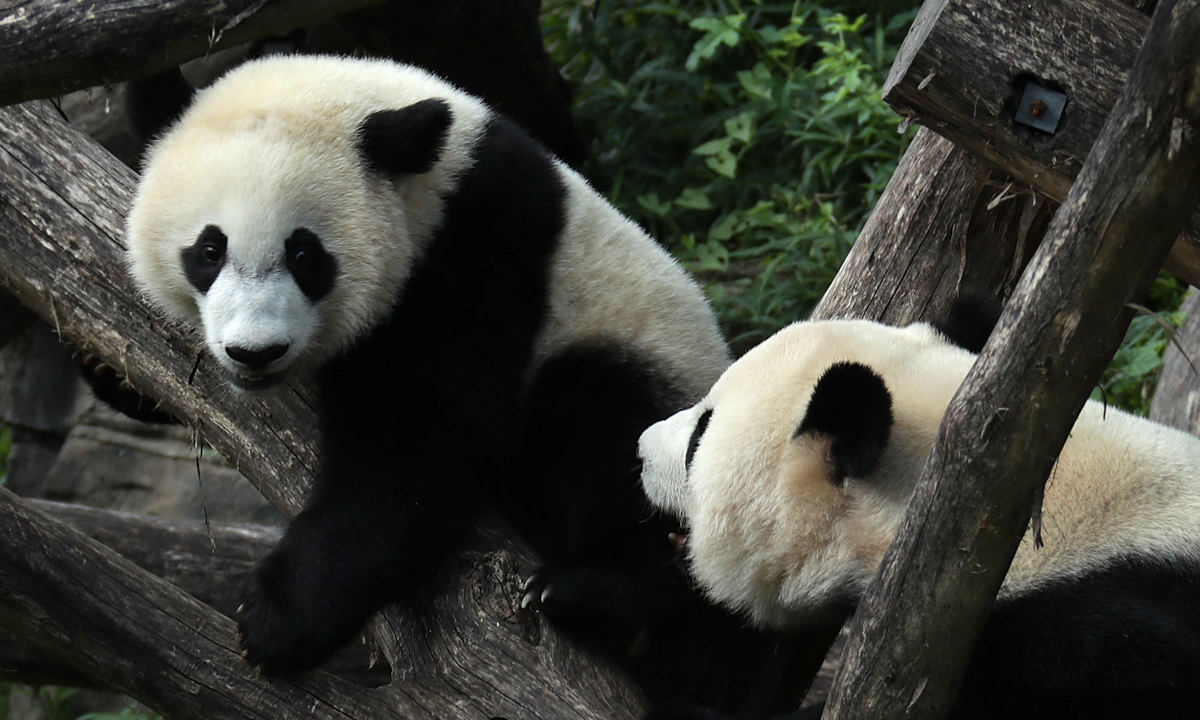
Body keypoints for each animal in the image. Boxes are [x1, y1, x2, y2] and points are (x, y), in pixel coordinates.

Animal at [121, 55, 733, 675]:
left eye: (305, 255)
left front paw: (277, 618)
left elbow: (419, 442)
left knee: (601, 421)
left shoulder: (474, 247)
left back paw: (590, 586)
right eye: (209, 250)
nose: (255, 352)